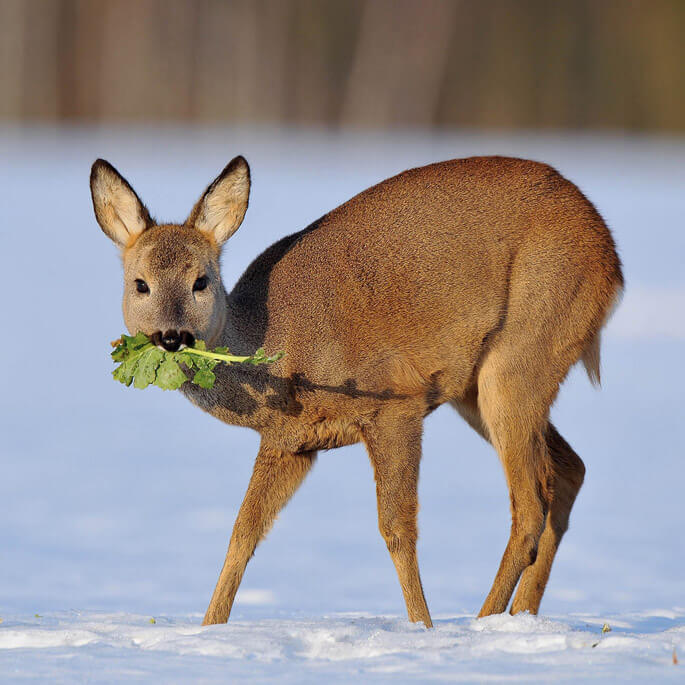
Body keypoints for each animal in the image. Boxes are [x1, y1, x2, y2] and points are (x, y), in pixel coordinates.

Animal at [89, 154, 620, 624]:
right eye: (140, 284)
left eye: (202, 281)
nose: (172, 337)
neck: (276, 347)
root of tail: (609, 252)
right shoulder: (289, 442)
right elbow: (243, 533)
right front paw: (208, 628)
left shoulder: (395, 403)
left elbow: (397, 530)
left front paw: (422, 627)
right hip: (478, 386)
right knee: (568, 471)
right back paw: (520, 617)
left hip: (523, 349)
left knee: (530, 505)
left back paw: (483, 621)